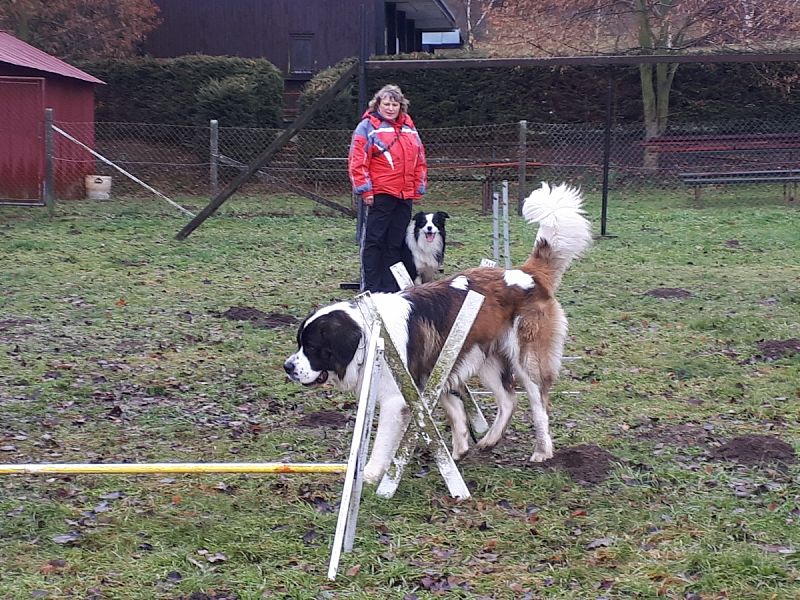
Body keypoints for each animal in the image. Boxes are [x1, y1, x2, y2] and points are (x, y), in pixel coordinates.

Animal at [284, 182, 592, 482]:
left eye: (312, 348)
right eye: (300, 344)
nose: (288, 367)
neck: (368, 336)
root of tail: (527, 274)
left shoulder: (396, 398)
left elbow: (383, 443)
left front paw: (371, 476)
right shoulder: (433, 371)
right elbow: (452, 410)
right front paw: (458, 448)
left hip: (526, 359)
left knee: (539, 403)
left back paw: (542, 450)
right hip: (486, 358)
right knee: (508, 400)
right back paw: (489, 440)